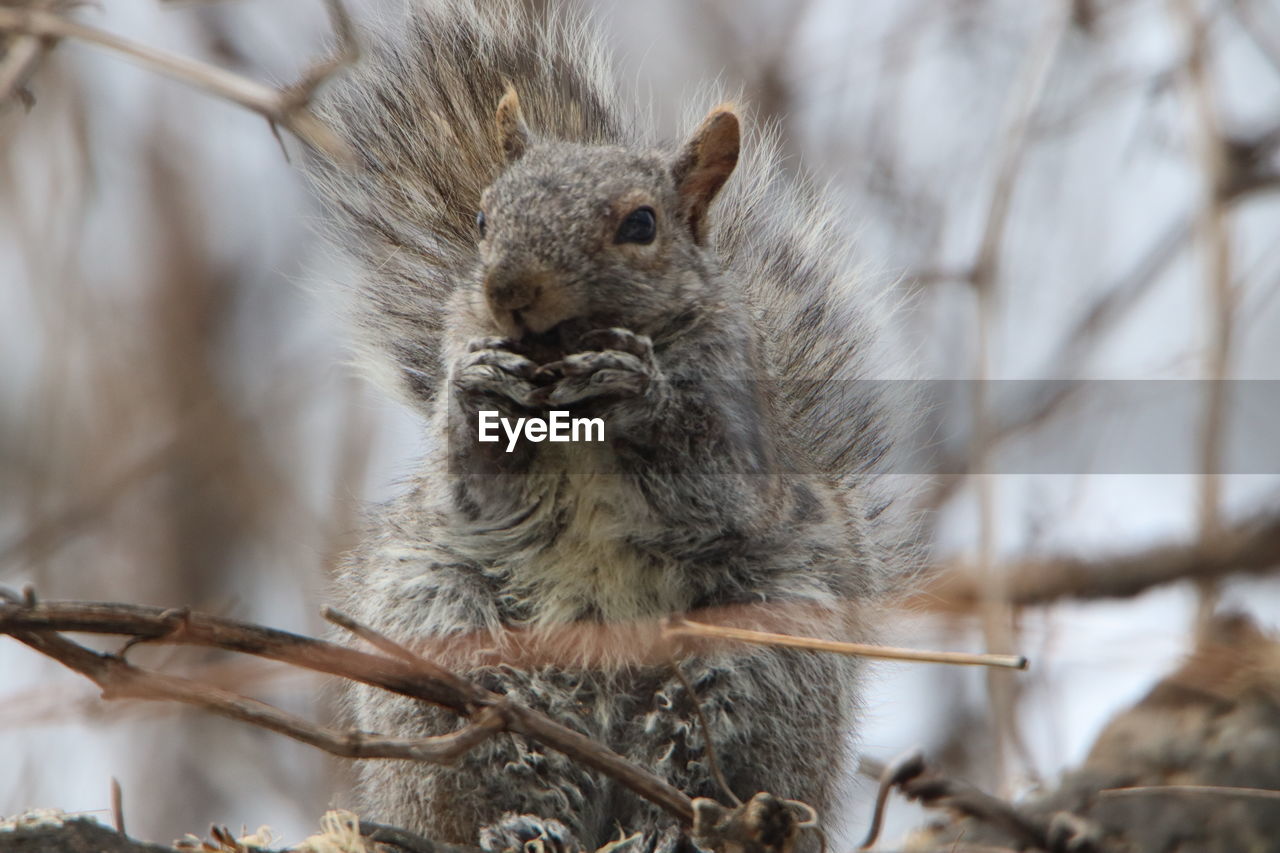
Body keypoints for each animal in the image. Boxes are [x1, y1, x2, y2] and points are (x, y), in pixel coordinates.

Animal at [305, 0, 916, 845]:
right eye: (483, 216)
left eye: (641, 225)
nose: (509, 289)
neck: (567, 399)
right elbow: (473, 487)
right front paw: (479, 389)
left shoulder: (739, 434)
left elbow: (712, 487)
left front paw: (640, 389)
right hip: (446, 641)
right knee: (486, 781)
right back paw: (524, 827)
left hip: (763, 661)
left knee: (701, 772)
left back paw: (674, 827)